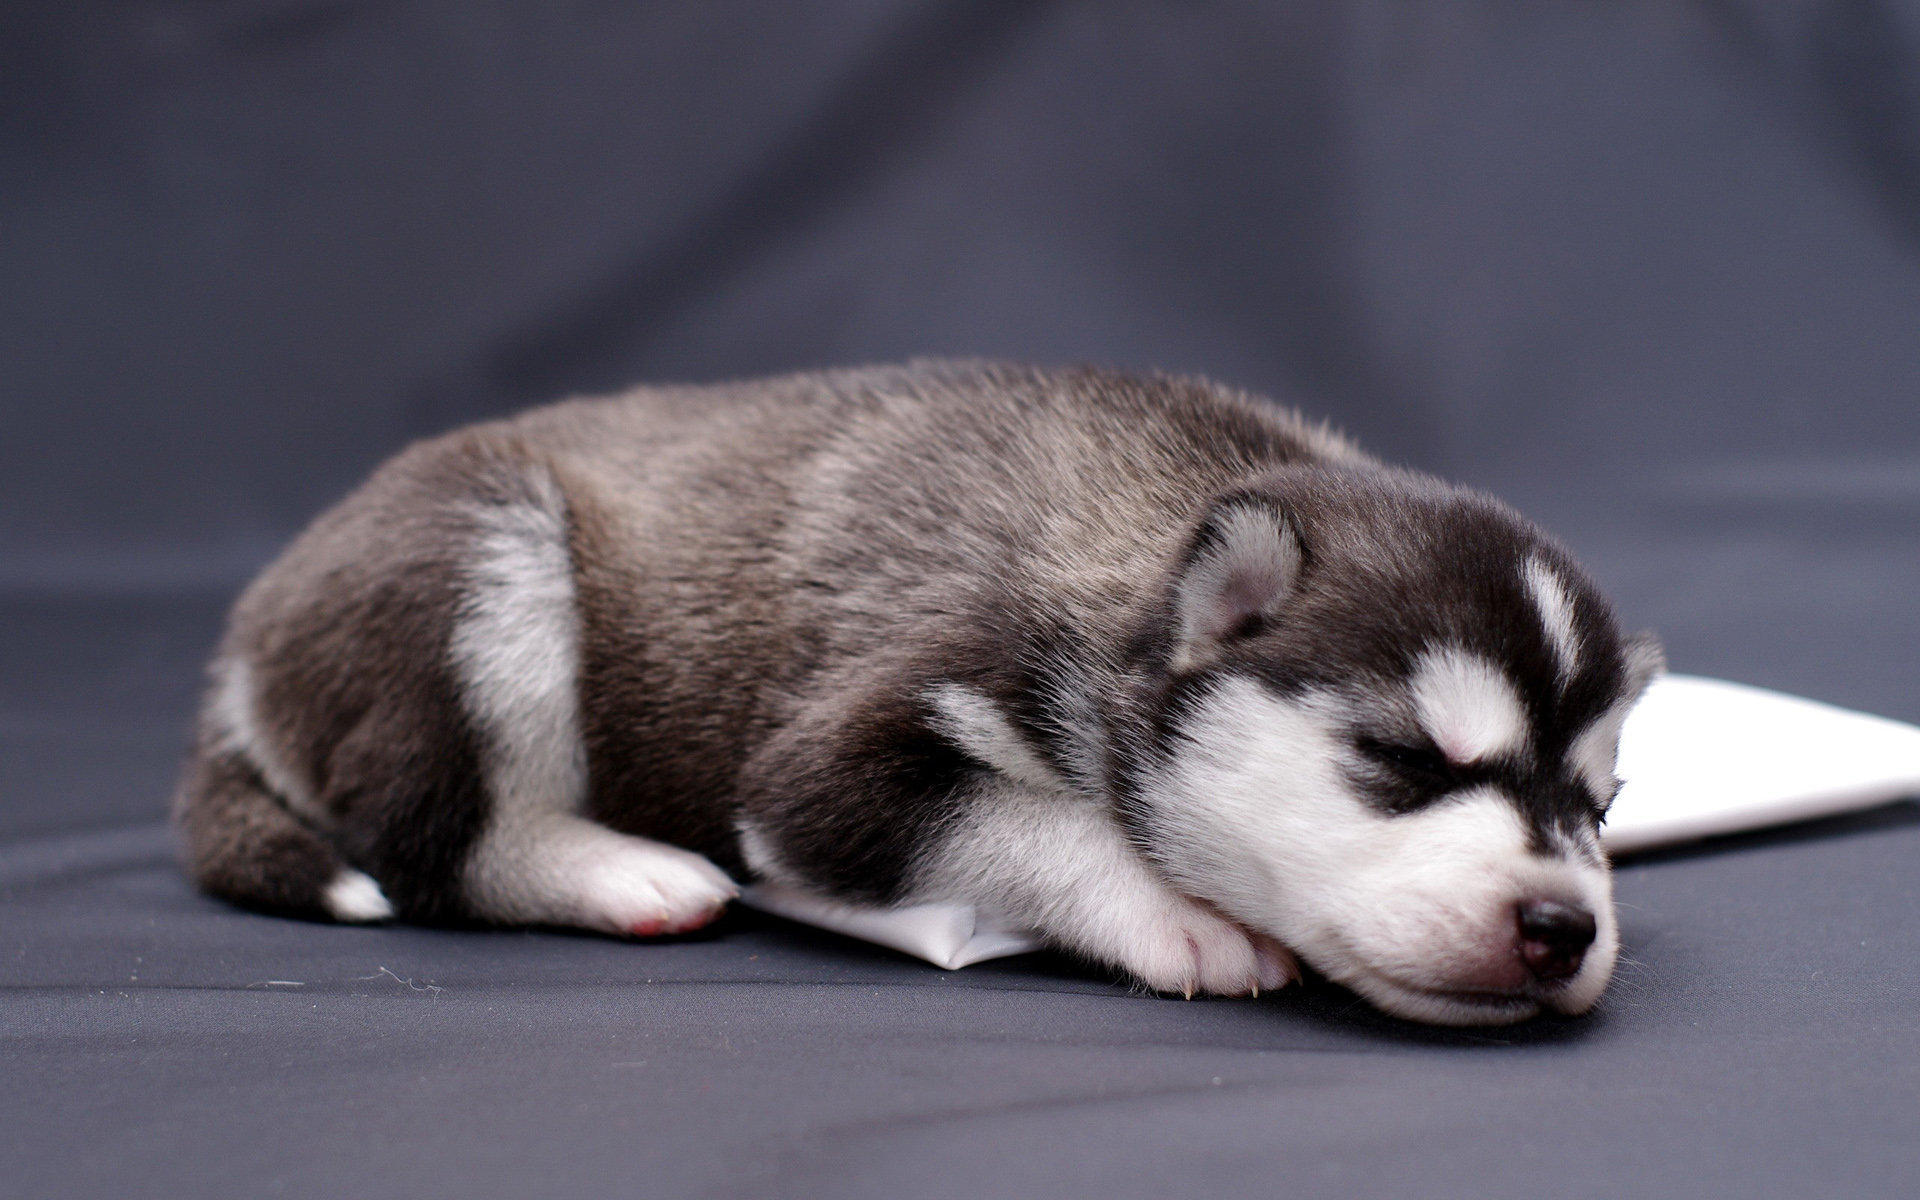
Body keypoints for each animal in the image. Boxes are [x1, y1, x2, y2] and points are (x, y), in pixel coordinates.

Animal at [175, 360, 1661, 1025]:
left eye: (1600, 807)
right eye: (1403, 759)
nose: (1562, 927)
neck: (1169, 512)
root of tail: (236, 646)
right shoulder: (831, 764)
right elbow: (1036, 823)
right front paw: (1175, 913)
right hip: (481, 566)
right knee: (438, 839)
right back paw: (618, 871)